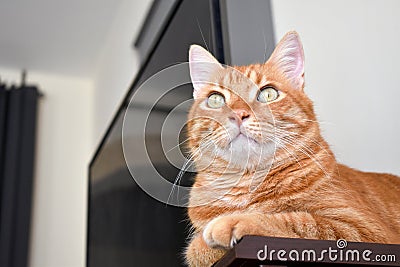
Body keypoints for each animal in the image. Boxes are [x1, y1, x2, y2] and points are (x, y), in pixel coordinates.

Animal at [184, 31, 400, 267]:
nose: (238, 114)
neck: (246, 182)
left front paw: (231, 222)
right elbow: (195, 250)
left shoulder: (361, 229)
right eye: (216, 99)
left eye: (268, 94)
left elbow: (294, 220)